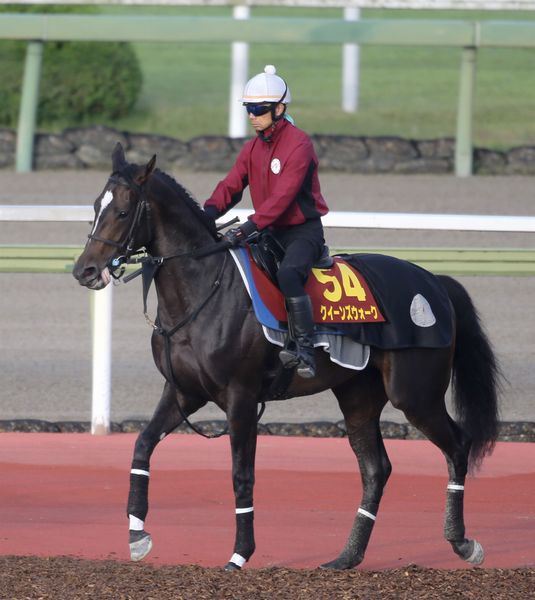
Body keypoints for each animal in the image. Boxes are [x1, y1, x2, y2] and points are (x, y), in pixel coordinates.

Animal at [73, 145, 500, 572]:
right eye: (95, 206)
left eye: (123, 211)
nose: (85, 270)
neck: (205, 289)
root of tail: (434, 282)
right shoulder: (183, 393)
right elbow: (142, 445)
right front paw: (137, 535)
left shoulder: (241, 398)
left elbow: (241, 475)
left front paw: (239, 554)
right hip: (358, 396)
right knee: (376, 469)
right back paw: (347, 556)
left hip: (415, 395)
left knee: (458, 445)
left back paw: (462, 542)